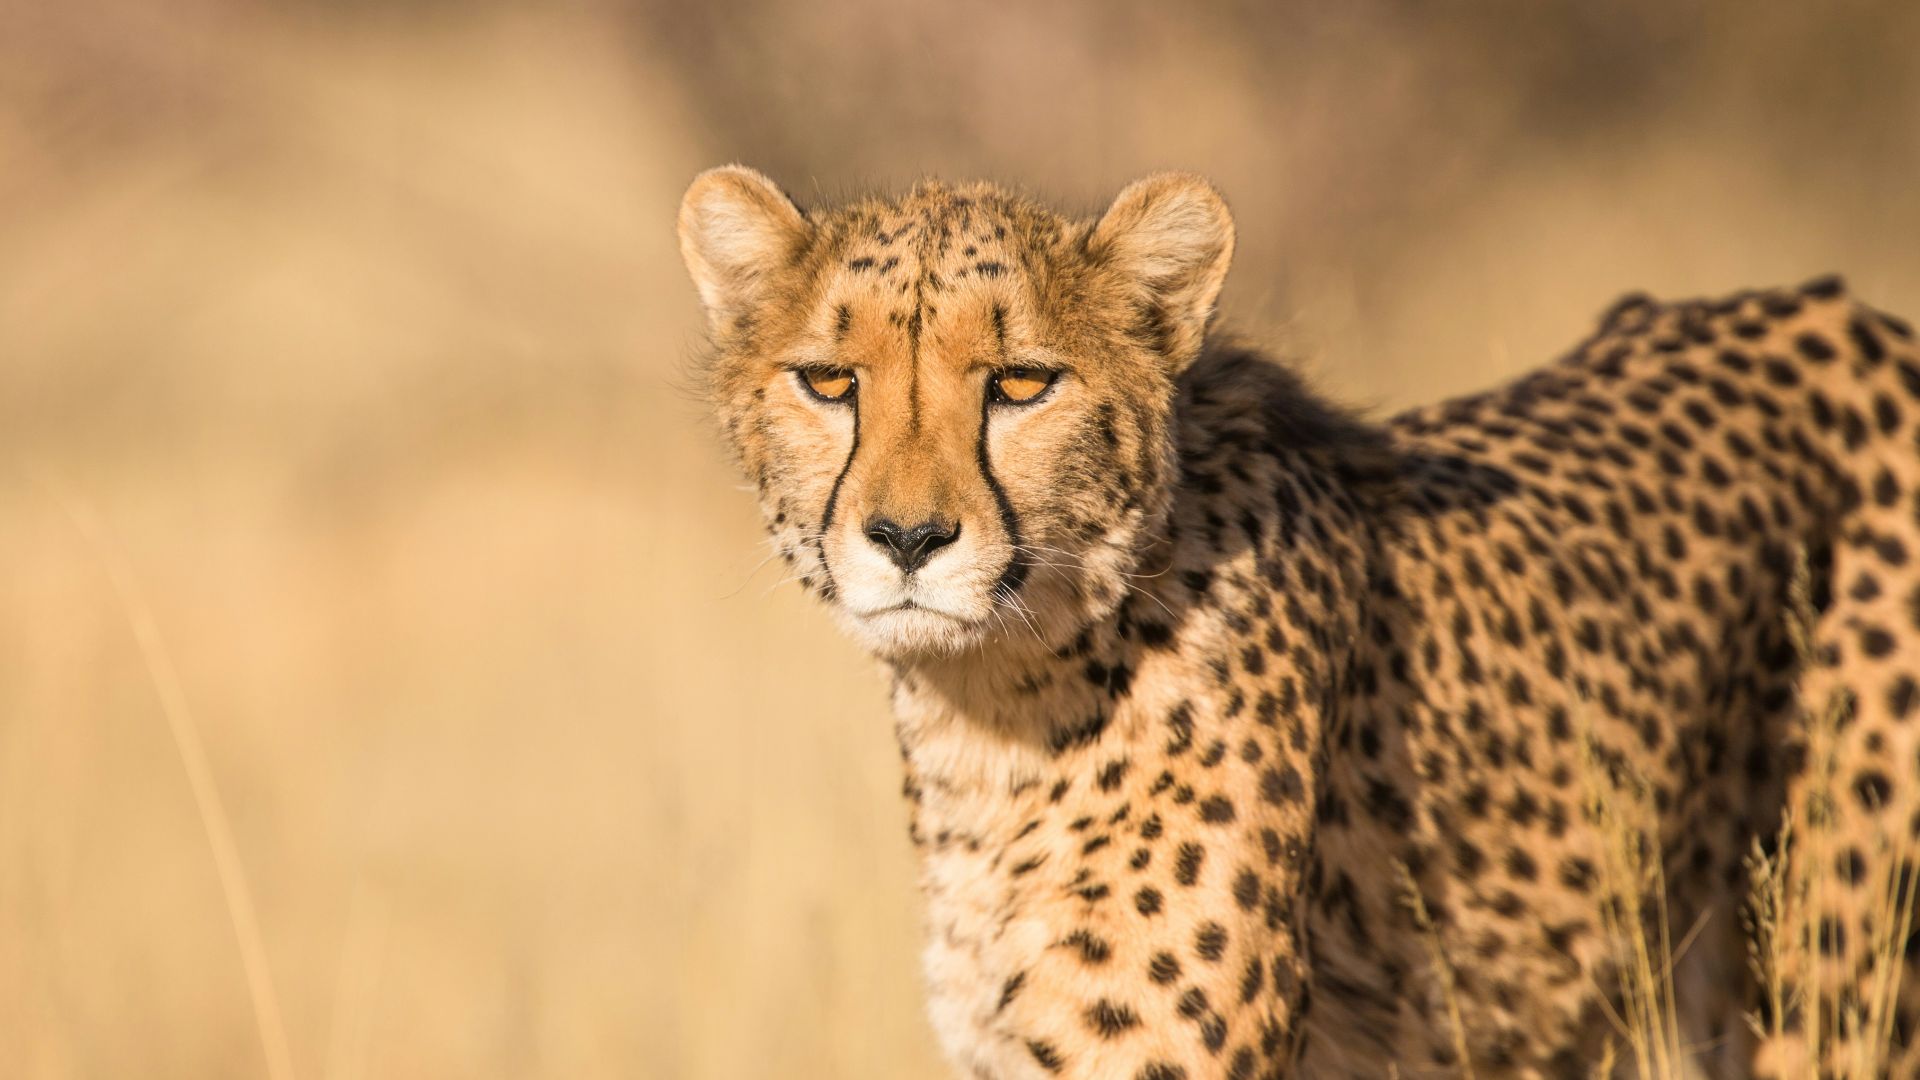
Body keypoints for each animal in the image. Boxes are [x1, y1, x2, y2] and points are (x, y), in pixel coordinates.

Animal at [676, 165, 1920, 1079]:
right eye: (829, 381)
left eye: (1023, 382)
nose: (906, 539)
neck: (996, 708)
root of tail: (1844, 311)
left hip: (1839, 989)